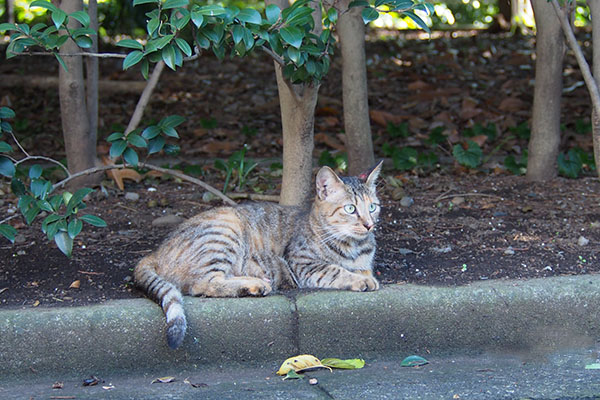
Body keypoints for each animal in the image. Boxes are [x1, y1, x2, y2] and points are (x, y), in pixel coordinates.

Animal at [134, 161, 382, 348]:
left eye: (373, 207)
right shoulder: (303, 263)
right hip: (226, 230)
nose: (369, 225)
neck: (355, 246)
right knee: (203, 283)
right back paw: (254, 284)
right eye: (350, 209)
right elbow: (336, 270)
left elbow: (361, 269)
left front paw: (363, 274)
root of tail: (156, 252)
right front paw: (360, 280)